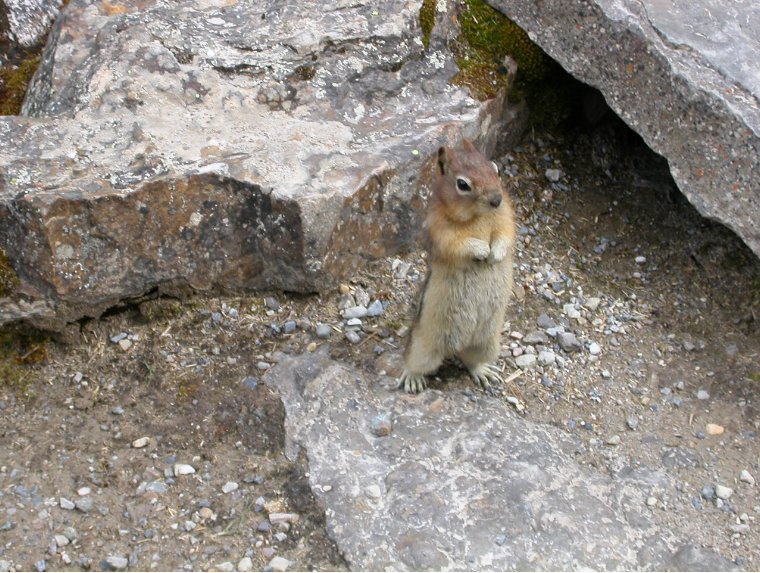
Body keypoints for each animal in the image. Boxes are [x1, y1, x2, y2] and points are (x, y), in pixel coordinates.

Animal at [398, 139, 516, 394]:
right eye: (463, 184)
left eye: (496, 170)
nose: (497, 199)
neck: (477, 217)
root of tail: (456, 347)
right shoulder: (441, 229)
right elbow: (459, 244)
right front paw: (482, 251)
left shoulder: (506, 217)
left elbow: (505, 235)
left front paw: (495, 253)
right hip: (423, 346)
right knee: (414, 361)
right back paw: (412, 379)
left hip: (487, 343)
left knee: (472, 361)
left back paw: (484, 372)